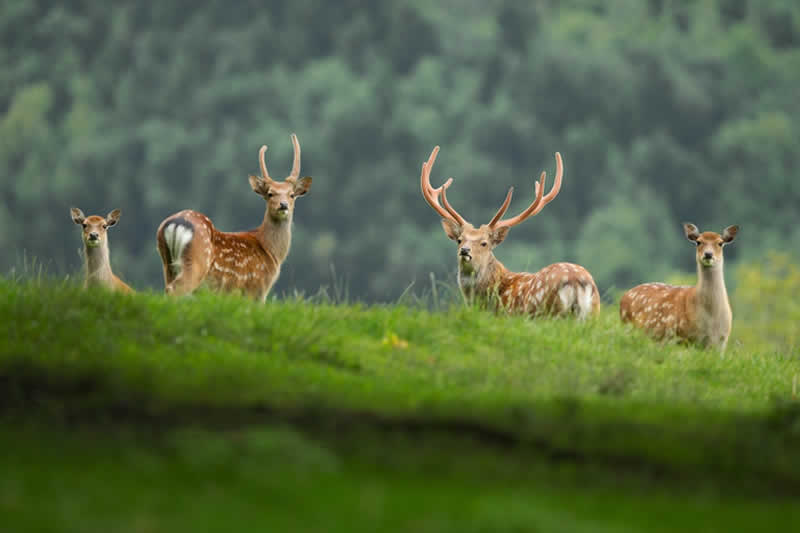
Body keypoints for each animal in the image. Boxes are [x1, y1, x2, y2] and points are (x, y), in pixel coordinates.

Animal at [156, 134, 312, 300]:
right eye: (270, 194)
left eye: (292, 194)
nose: (283, 205)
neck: (270, 251)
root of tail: (174, 223)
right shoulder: (257, 288)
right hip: (196, 262)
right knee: (175, 289)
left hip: (167, 264)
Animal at [418, 145, 600, 318]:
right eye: (459, 239)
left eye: (484, 243)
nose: (464, 250)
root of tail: (577, 283)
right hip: (593, 313)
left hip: (550, 314)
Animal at [620, 223, 744, 352]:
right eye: (698, 242)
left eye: (720, 243)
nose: (708, 254)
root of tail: (623, 297)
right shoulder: (685, 338)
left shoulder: (721, 342)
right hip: (628, 327)